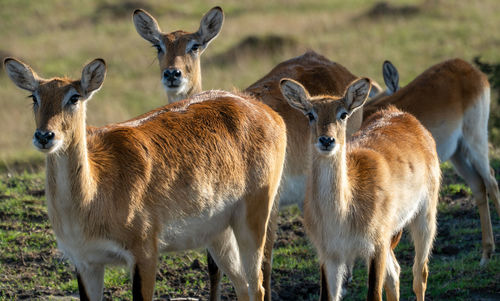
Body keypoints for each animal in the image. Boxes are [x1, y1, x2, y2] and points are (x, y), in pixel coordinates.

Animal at [3, 56, 288, 300]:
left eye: (74, 97)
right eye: (34, 96)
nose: (44, 136)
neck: (93, 198)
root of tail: (265, 110)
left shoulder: (145, 253)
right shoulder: (85, 261)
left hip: (253, 219)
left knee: (257, 285)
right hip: (218, 233)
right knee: (242, 285)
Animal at [282, 78, 442, 300]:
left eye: (343, 114)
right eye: (310, 114)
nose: (326, 140)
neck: (343, 214)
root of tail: (402, 115)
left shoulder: (376, 244)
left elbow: (374, 294)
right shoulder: (329, 254)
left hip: (425, 215)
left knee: (420, 274)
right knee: (395, 274)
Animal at [364, 58, 500, 264]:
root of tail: (468, 67)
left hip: (474, 139)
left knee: (491, 181)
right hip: (457, 153)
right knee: (478, 185)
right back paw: (486, 255)